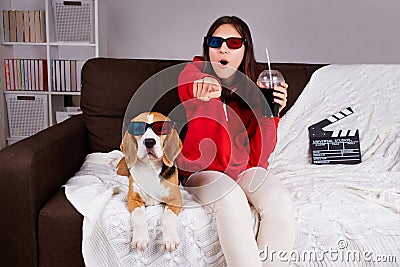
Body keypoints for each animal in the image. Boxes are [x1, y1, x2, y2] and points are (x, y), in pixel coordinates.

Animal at [115, 111, 183, 253]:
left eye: (161, 128)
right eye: (137, 128)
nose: (149, 142)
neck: (149, 168)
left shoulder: (176, 199)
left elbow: (168, 216)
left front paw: (170, 239)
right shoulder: (133, 199)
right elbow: (139, 216)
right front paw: (141, 239)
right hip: (120, 168)